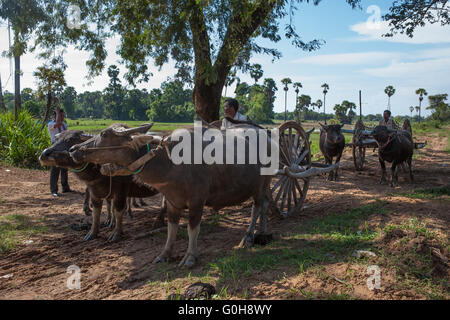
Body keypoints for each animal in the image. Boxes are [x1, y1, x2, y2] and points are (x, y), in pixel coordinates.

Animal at [69, 123, 278, 268]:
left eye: (104, 134)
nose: (73, 150)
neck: (171, 163)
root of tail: (270, 138)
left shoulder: (197, 202)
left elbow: (193, 230)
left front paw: (190, 258)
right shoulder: (172, 202)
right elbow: (171, 229)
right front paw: (164, 254)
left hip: (261, 185)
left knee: (257, 207)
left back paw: (248, 237)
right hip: (265, 186)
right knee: (266, 204)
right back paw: (262, 232)